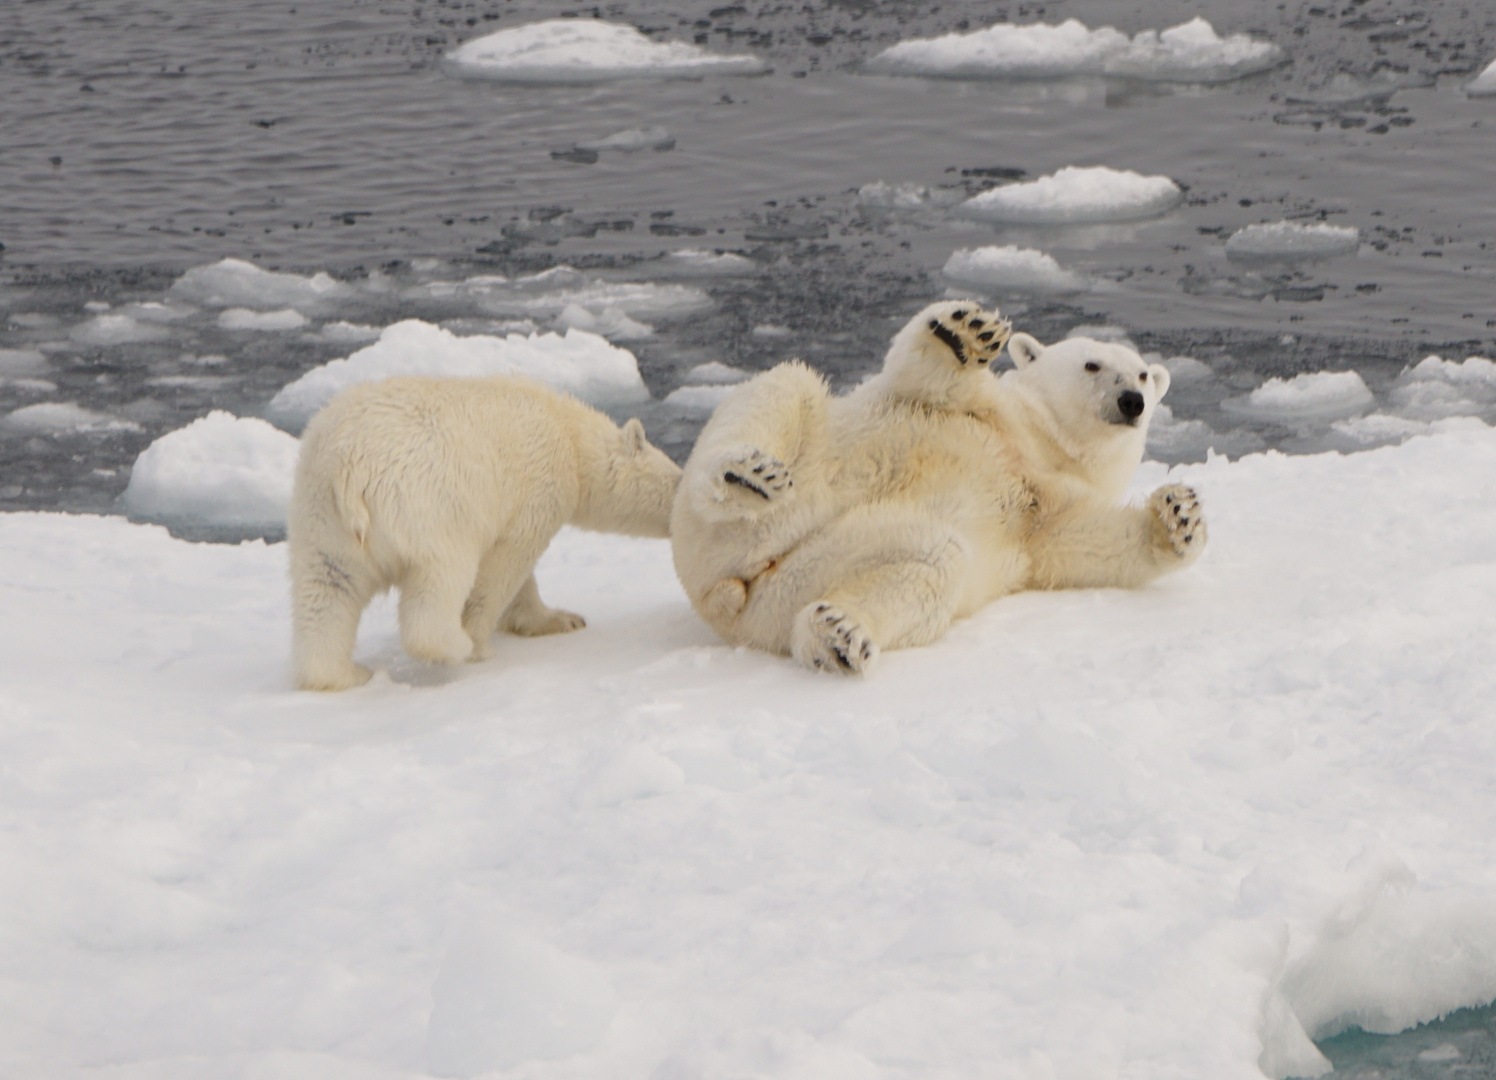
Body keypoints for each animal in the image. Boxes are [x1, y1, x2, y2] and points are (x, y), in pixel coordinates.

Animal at [287, 372, 685, 691]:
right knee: (441, 578)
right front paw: (481, 643)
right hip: (429, 504)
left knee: (327, 588)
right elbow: (506, 564)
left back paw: (343, 674)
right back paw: (454, 644)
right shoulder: (536, 488)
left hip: (319, 515)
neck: (570, 437)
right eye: (677, 479)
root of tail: (349, 469)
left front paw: (562, 619)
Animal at [673, 300, 1208, 673]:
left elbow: (1092, 544)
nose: (1132, 400)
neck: (1041, 443)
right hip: (773, 486)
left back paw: (837, 633)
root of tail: (723, 594)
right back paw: (744, 475)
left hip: (795, 581)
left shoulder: (1045, 514)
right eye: (1092, 364)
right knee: (784, 388)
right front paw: (967, 331)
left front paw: (1180, 515)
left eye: (1143, 373)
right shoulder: (987, 410)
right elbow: (924, 376)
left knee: (930, 559)